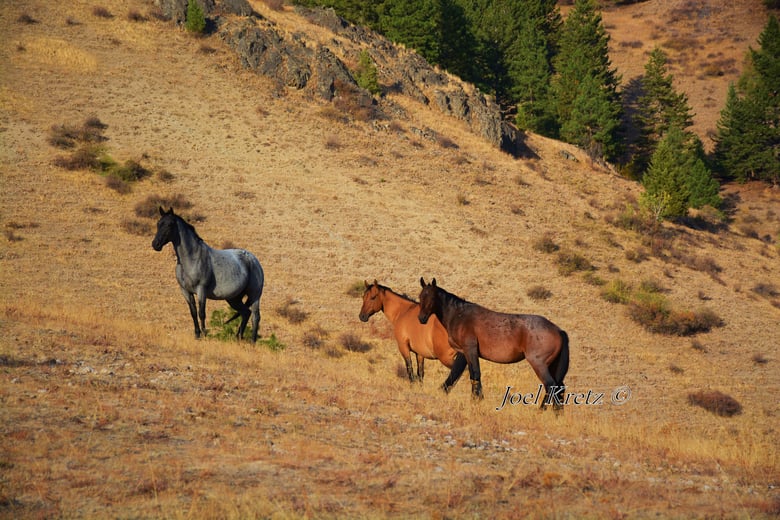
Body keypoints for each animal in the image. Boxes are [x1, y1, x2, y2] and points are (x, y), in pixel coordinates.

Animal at [152, 207, 266, 342]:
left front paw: (204, 334)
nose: (155, 244)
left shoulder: (201, 290)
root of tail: (254, 260)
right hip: (234, 298)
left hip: (254, 295)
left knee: (255, 316)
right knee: (245, 313)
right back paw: (238, 338)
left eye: (169, 224)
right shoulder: (185, 291)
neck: (192, 258)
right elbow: (193, 312)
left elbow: (202, 313)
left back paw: (252, 341)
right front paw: (197, 335)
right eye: (158, 223)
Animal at [418, 278, 568, 408]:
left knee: (550, 385)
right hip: (551, 365)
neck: (459, 315)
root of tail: (558, 330)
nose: (421, 318)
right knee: (559, 387)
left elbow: (475, 374)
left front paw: (477, 400)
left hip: (539, 364)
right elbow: (457, 373)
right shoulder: (463, 353)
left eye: (432, 298)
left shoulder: (470, 350)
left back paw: (541, 411)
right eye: (420, 297)